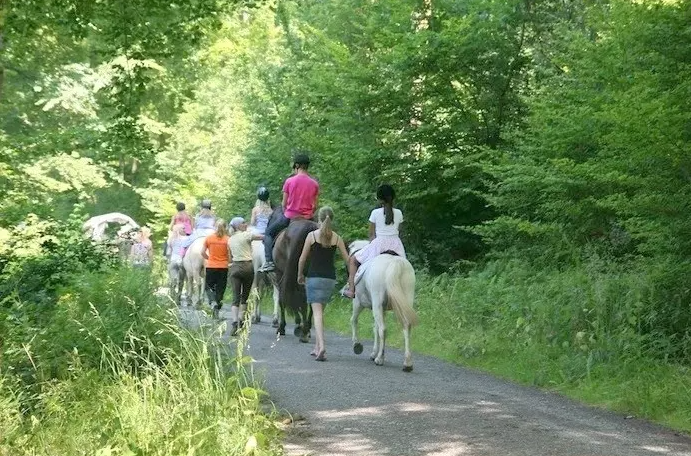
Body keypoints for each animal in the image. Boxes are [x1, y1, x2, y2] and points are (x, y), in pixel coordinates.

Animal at [352, 240, 416, 372]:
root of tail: (395, 263)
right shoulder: (383, 309)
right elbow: (375, 328)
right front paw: (374, 353)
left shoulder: (358, 302)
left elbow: (354, 320)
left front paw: (357, 345)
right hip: (406, 298)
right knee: (407, 327)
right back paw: (407, 363)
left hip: (376, 302)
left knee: (383, 329)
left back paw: (380, 359)